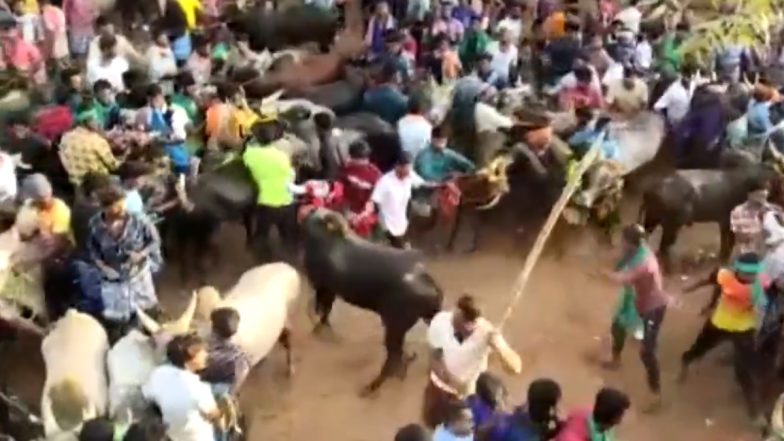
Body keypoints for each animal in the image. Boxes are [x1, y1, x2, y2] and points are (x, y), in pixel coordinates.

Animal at [304, 208, 444, 394]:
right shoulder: (328, 290)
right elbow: (324, 311)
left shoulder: (323, 287)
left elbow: (322, 310)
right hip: (404, 325)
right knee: (400, 356)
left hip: (394, 326)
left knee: (392, 358)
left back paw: (372, 386)